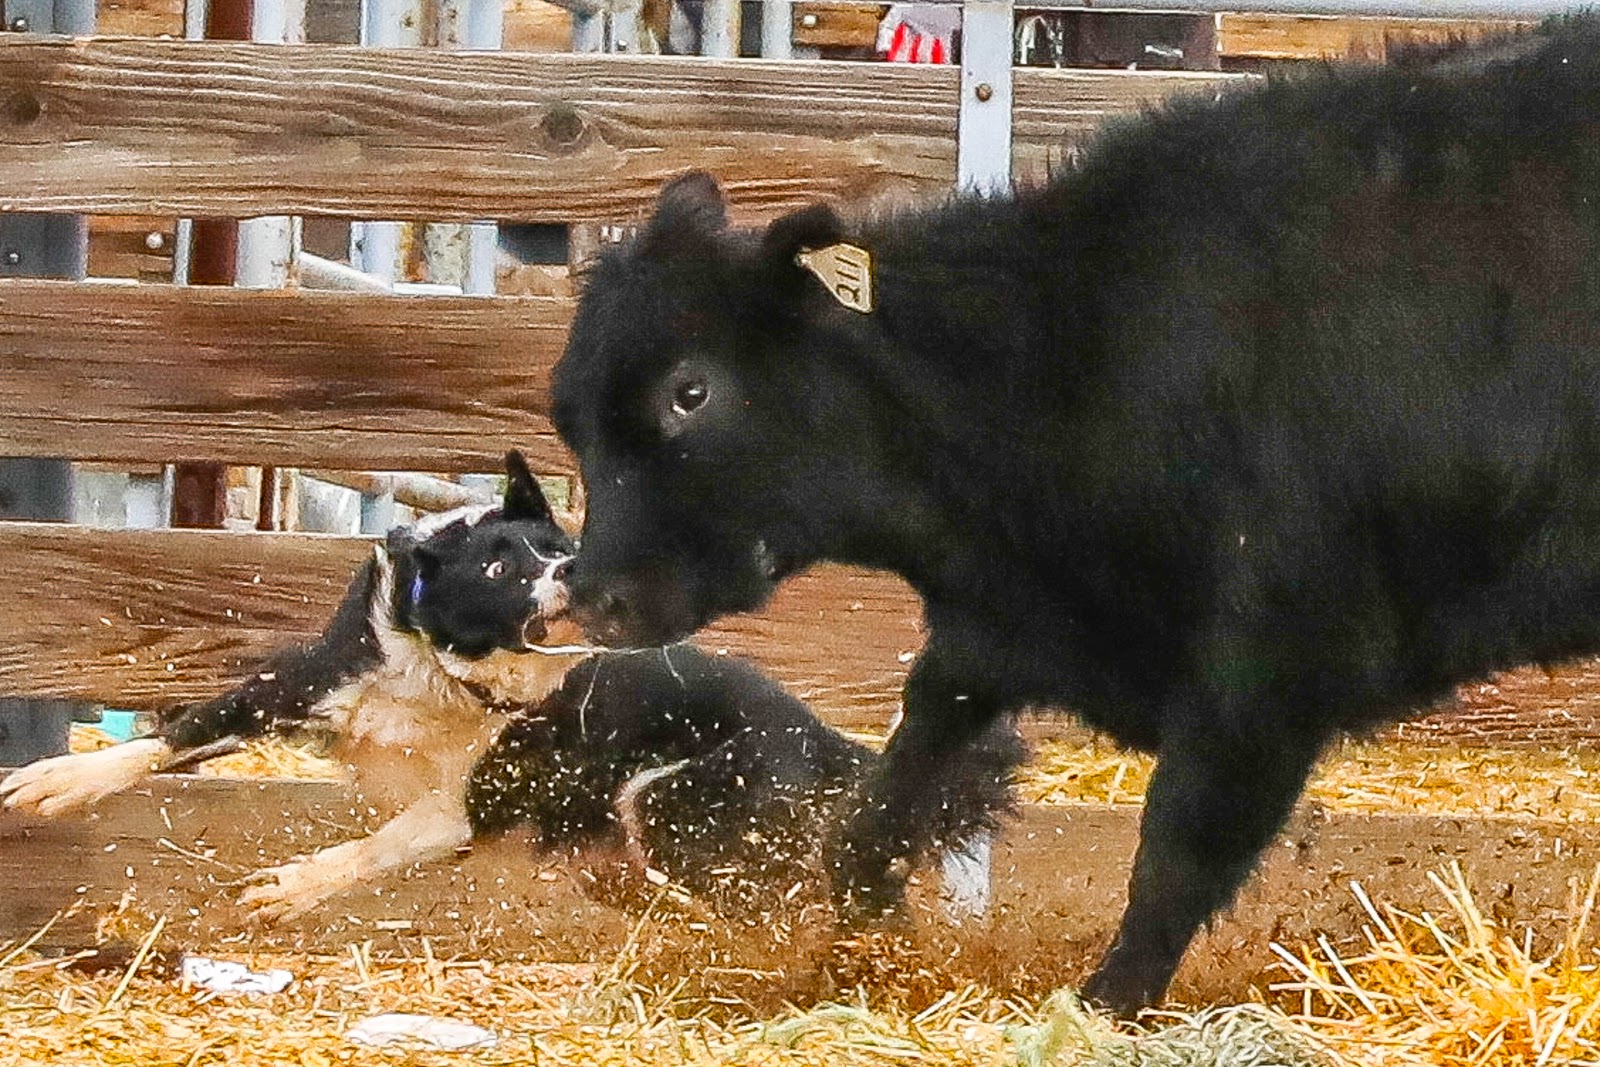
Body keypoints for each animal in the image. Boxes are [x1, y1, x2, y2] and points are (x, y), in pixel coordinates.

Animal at [546, 19, 1600, 1014]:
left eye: (691, 392)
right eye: (570, 417)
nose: (592, 595)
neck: (1068, 352)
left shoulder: (1271, 662)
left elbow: (1176, 853)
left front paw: (1104, 1002)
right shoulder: (998, 630)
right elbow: (884, 799)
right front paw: (857, 943)